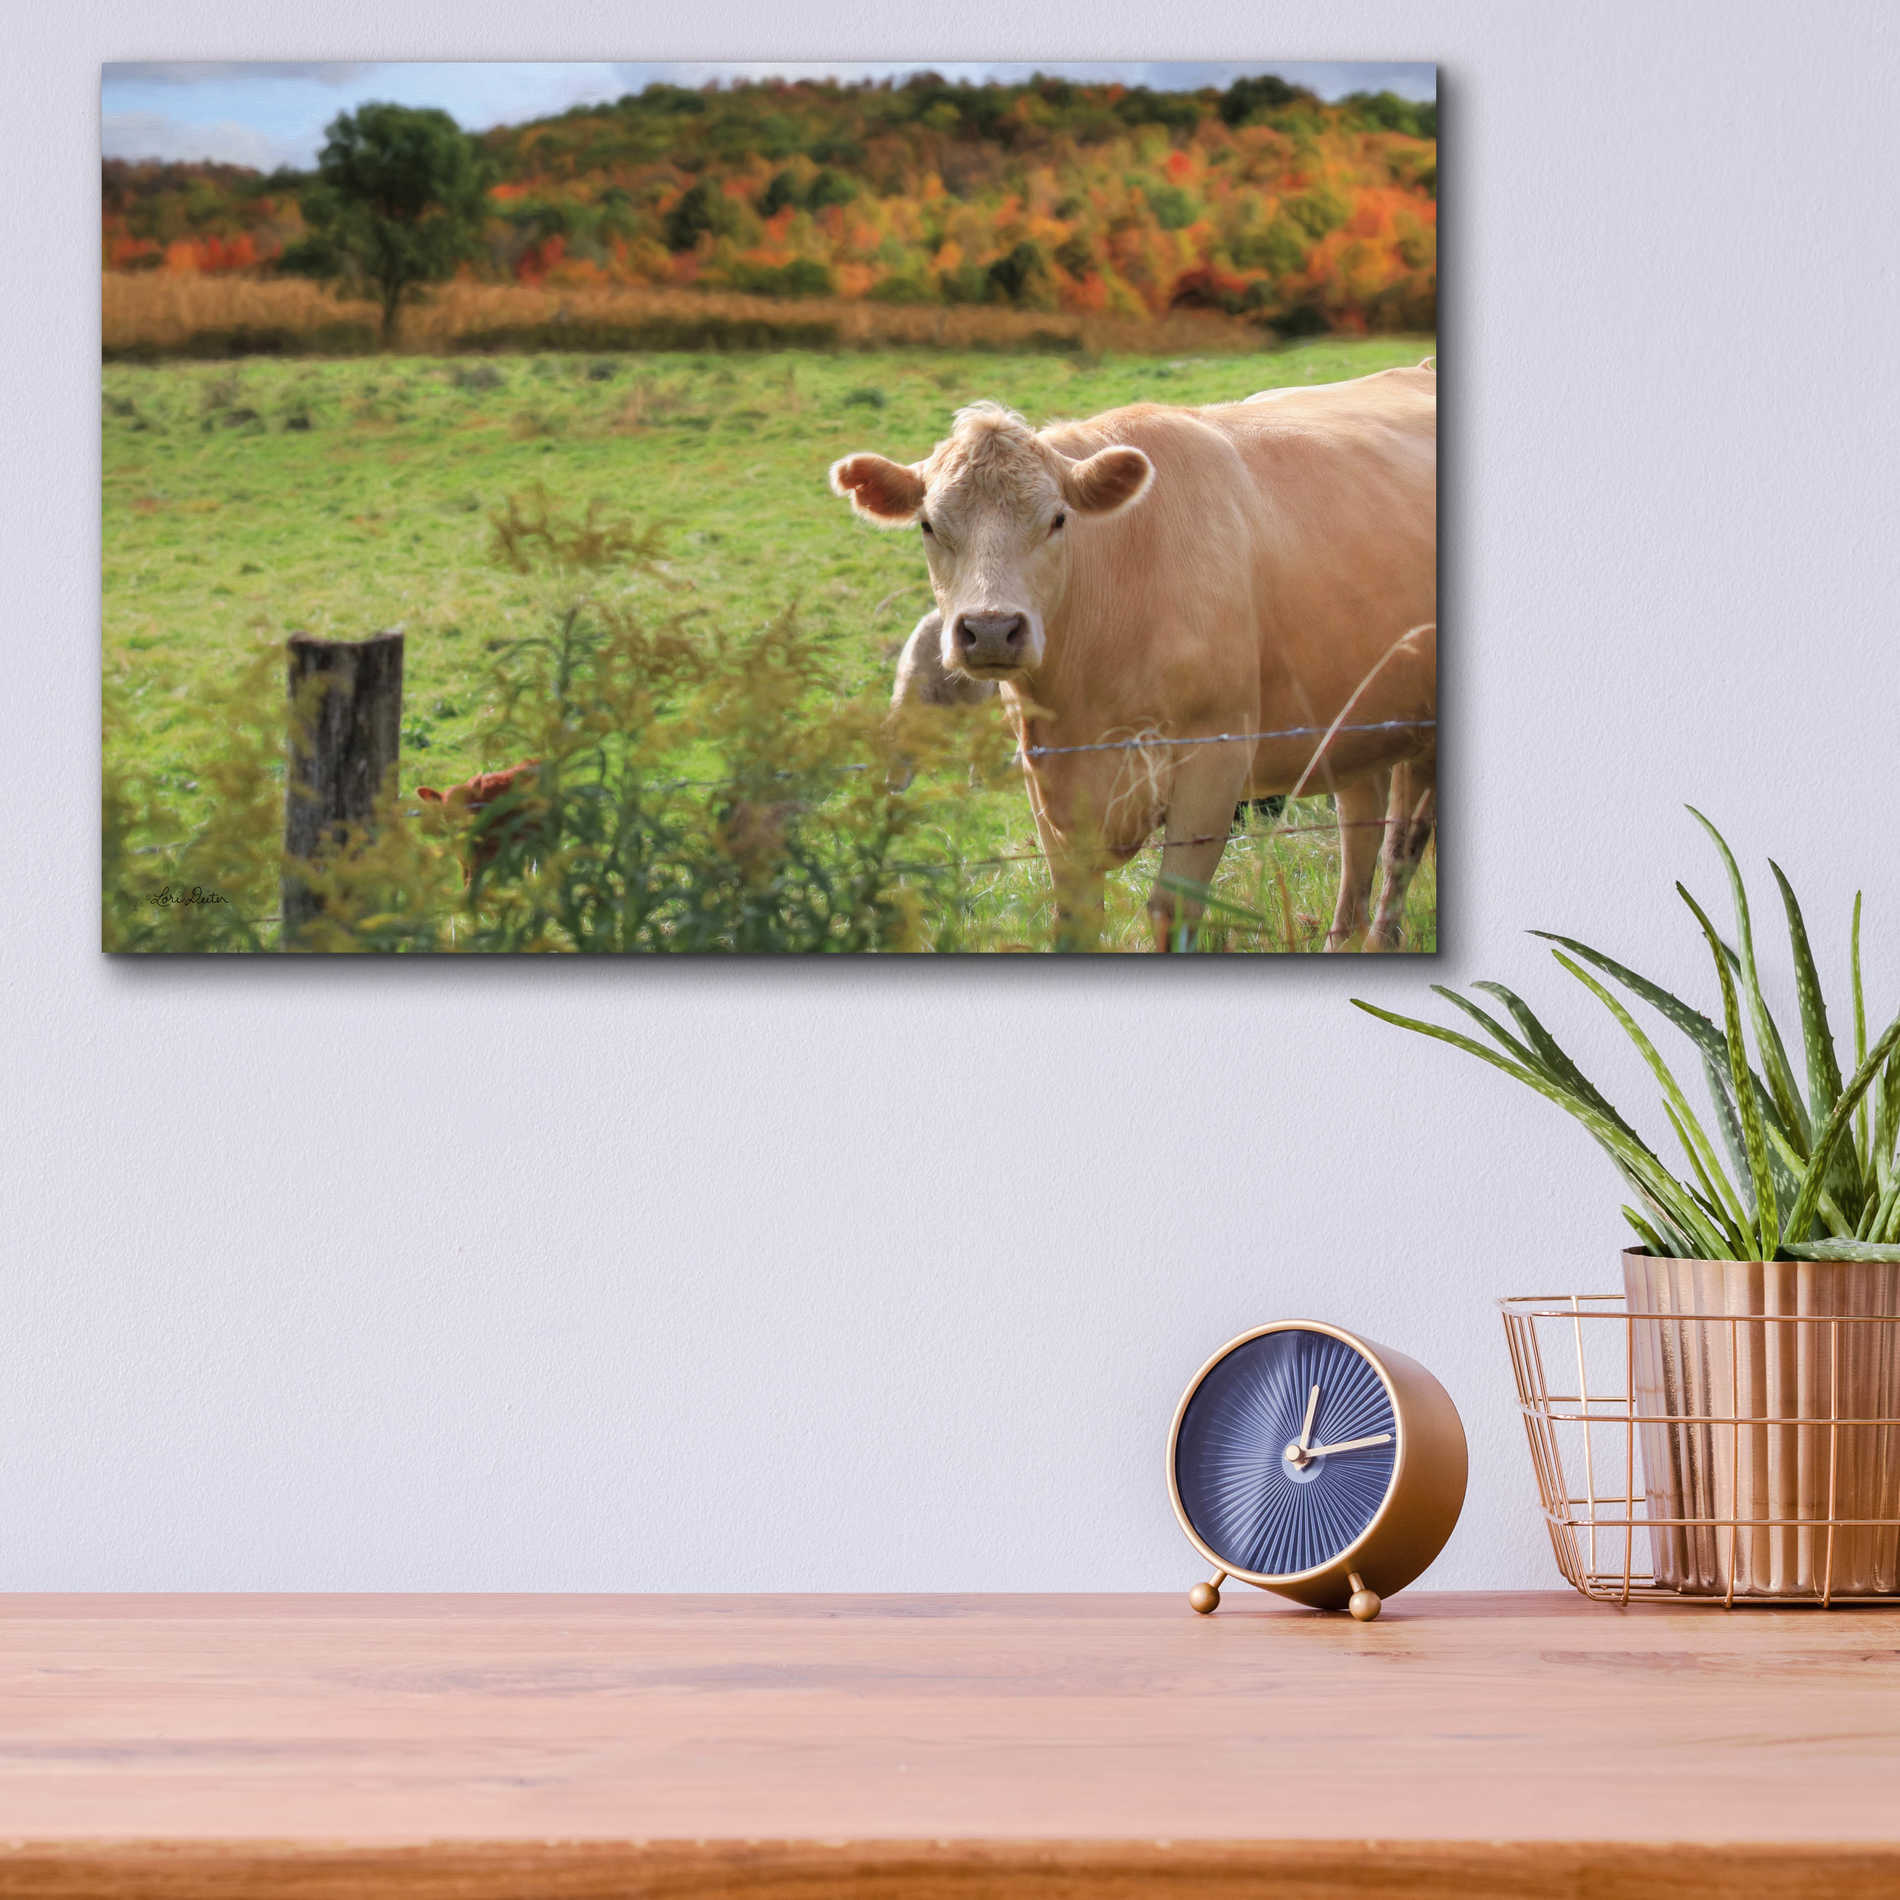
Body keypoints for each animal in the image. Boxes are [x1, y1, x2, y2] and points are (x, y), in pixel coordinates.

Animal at [833, 365, 1436, 949]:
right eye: (928, 525)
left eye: (1058, 520)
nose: (990, 629)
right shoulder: (1047, 782)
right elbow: (1076, 919)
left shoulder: (1215, 761)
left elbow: (1174, 911)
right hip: (1354, 727)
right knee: (1360, 831)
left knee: (1401, 846)